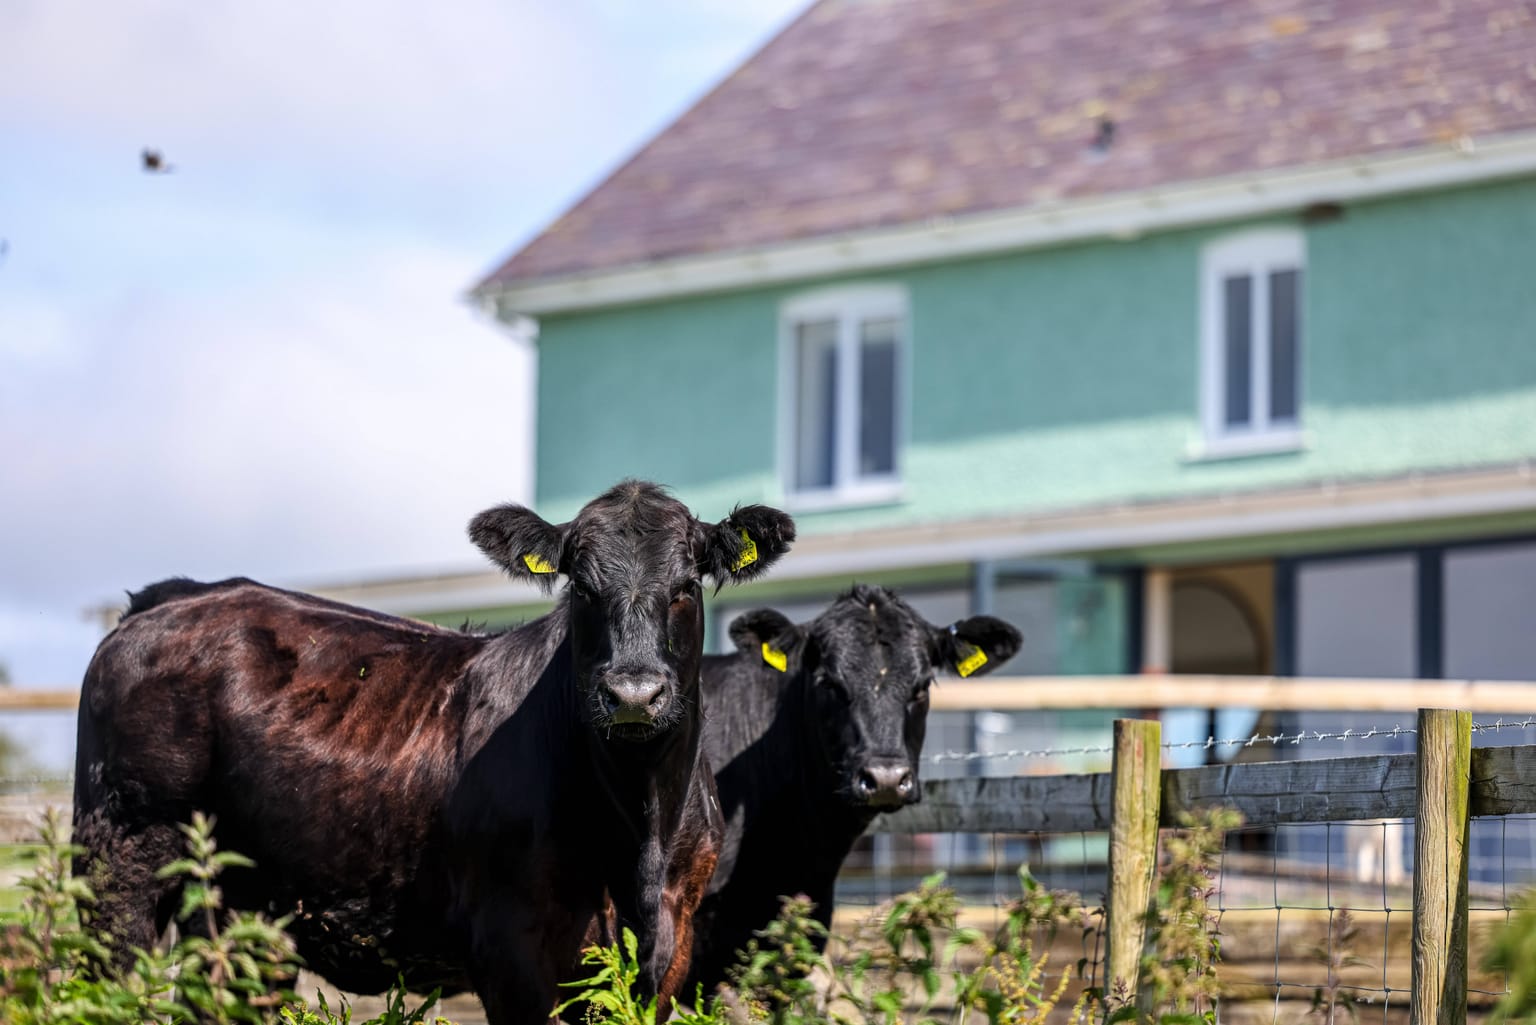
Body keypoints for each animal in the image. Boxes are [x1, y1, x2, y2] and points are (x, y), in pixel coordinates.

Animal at [72, 480, 795, 1024]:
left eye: (687, 584)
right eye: (582, 587)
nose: (633, 693)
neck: (640, 827)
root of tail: (184, 596)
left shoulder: (671, 949)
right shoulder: (511, 949)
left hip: (243, 913)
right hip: (119, 861)